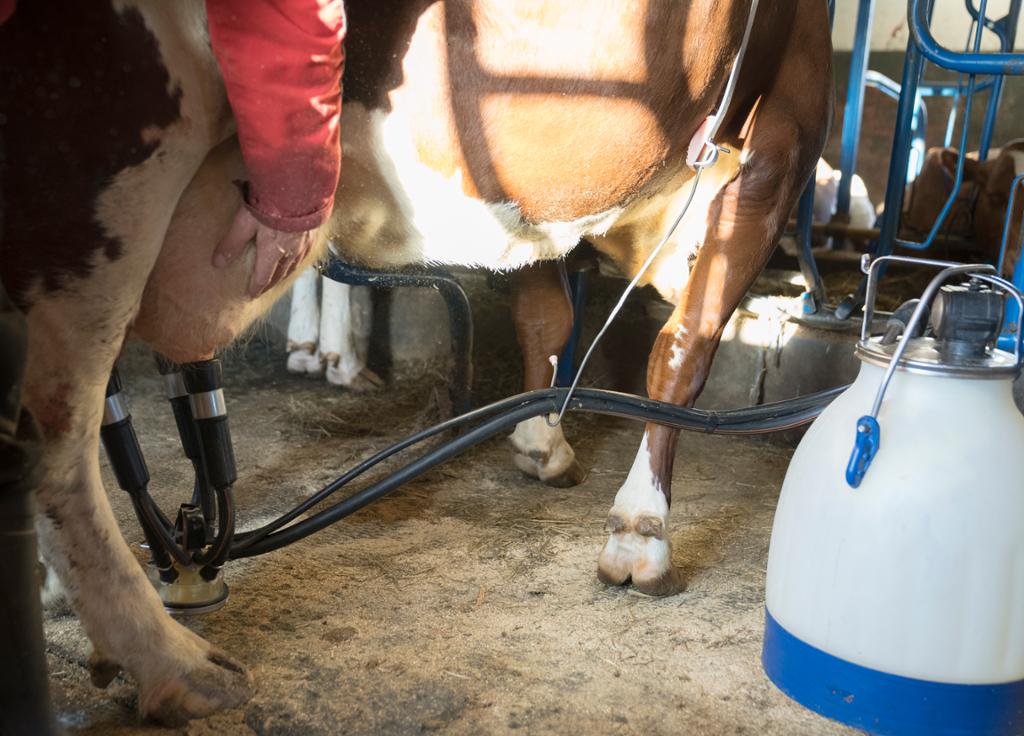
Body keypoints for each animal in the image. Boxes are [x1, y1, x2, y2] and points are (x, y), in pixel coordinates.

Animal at [0, 0, 831, 724]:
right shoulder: (782, 133)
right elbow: (683, 350)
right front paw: (640, 533)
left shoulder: (534, 192)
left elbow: (546, 310)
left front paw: (541, 443)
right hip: (105, 184)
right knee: (58, 443)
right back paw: (175, 662)